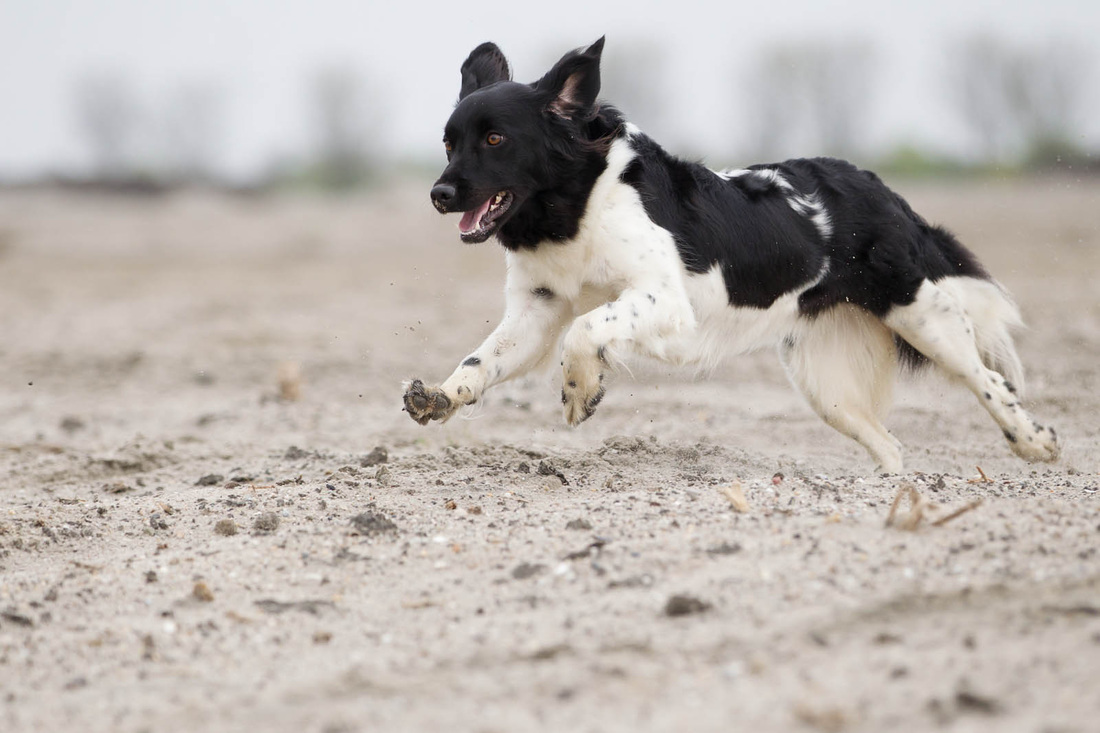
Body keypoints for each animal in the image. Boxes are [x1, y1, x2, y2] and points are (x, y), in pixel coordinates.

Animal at [402, 37, 1056, 471]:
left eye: (495, 139)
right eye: (448, 142)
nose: (438, 194)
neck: (577, 204)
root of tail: (875, 184)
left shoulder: (663, 300)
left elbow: (585, 329)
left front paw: (582, 392)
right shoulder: (537, 309)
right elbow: (481, 361)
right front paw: (439, 397)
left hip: (921, 314)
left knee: (989, 380)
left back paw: (1035, 442)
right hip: (826, 382)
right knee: (891, 444)